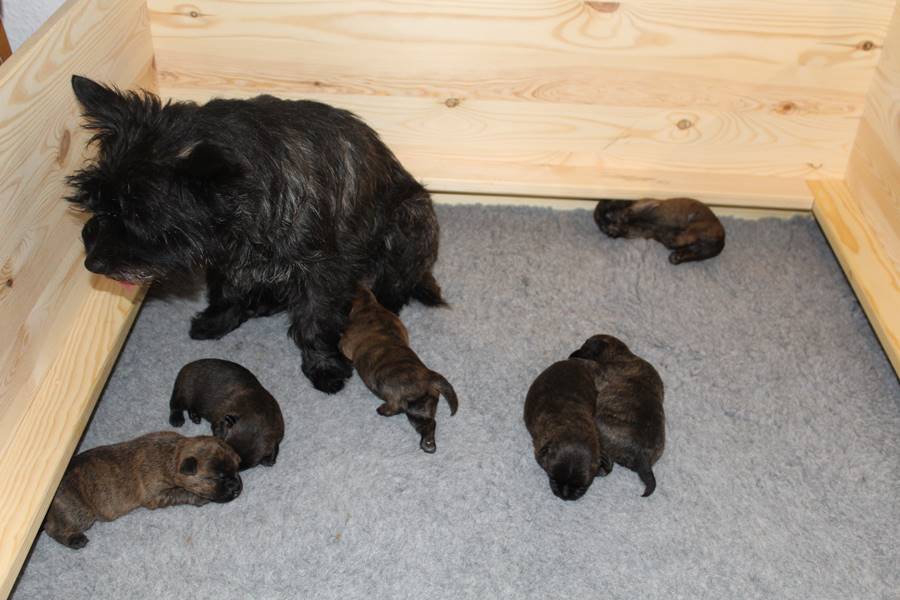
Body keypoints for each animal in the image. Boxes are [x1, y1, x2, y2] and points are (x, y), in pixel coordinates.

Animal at [43, 432, 242, 549]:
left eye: (236, 468)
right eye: (218, 478)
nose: (238, 488)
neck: (173, 454)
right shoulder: (156, 497)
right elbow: (179, 493)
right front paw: (199, 498)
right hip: (79, 512)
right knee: (52, 529)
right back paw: (75, 540)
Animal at [66, 75, 444, 394]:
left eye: (139, 216)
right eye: (96, 202)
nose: (92, 263)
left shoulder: (322, 270)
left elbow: (315, 318)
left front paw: (324, 365)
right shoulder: (226, 256)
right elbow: (227, 289)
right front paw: (217, 320)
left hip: (409, 220)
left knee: (393, 287)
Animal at [339, 286, 458, 453]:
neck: (367, 305)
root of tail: (429, 377)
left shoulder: (346, 344)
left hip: (397, 396)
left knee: (395, 408)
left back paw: (383, 410)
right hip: (420, 409)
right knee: (429, 424)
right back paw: (428, 444)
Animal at [570, 335, 665, 497]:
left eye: (585, 348)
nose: (572, 354)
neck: (622, 355)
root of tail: (643, 457)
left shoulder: (600, 371)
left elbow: (589, 364)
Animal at [594, 197, 725, 264]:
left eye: (610, 202)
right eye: (599, 221)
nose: (605, 220)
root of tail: (722, 241)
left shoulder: (646, 204)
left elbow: (630, 212)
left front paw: (620, 219)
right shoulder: (638, 231)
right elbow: (627, 228)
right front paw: (614, 229)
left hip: (698, 226)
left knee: (687, 236)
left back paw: (673, 239)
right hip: (700, 251)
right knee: (690, 251)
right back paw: (676, 256)